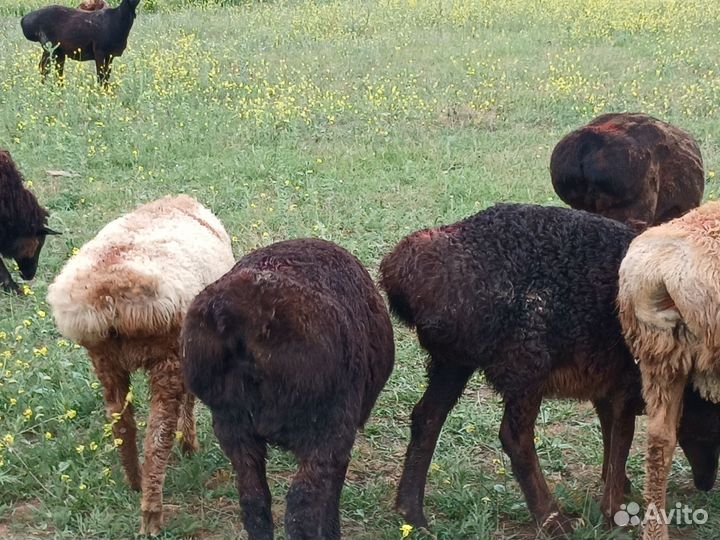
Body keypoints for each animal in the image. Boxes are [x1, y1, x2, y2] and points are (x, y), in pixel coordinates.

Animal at [47, 195, 234, 535]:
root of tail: (109, 296)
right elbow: (189, 400)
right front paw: (190, 445)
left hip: (106, 360)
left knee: (122, 423)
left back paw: (135, 482)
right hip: (165, 355)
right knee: (157, 437)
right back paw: (152, 513)